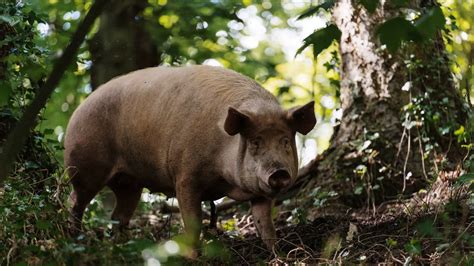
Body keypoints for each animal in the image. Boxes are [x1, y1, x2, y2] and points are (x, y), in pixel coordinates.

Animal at [63, 65, 314, 255]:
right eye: (255, 142)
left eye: (285, 141)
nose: (279, 172)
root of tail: (79, 107)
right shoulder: (185, 177)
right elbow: (193, 224)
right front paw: (193, 257)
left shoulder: (259, 193)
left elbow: (266, 226)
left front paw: (278, 255)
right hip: (84, 166)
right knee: (74, 202)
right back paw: (74, 238)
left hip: (129, 183)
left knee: (118, 216)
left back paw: (123, 248)